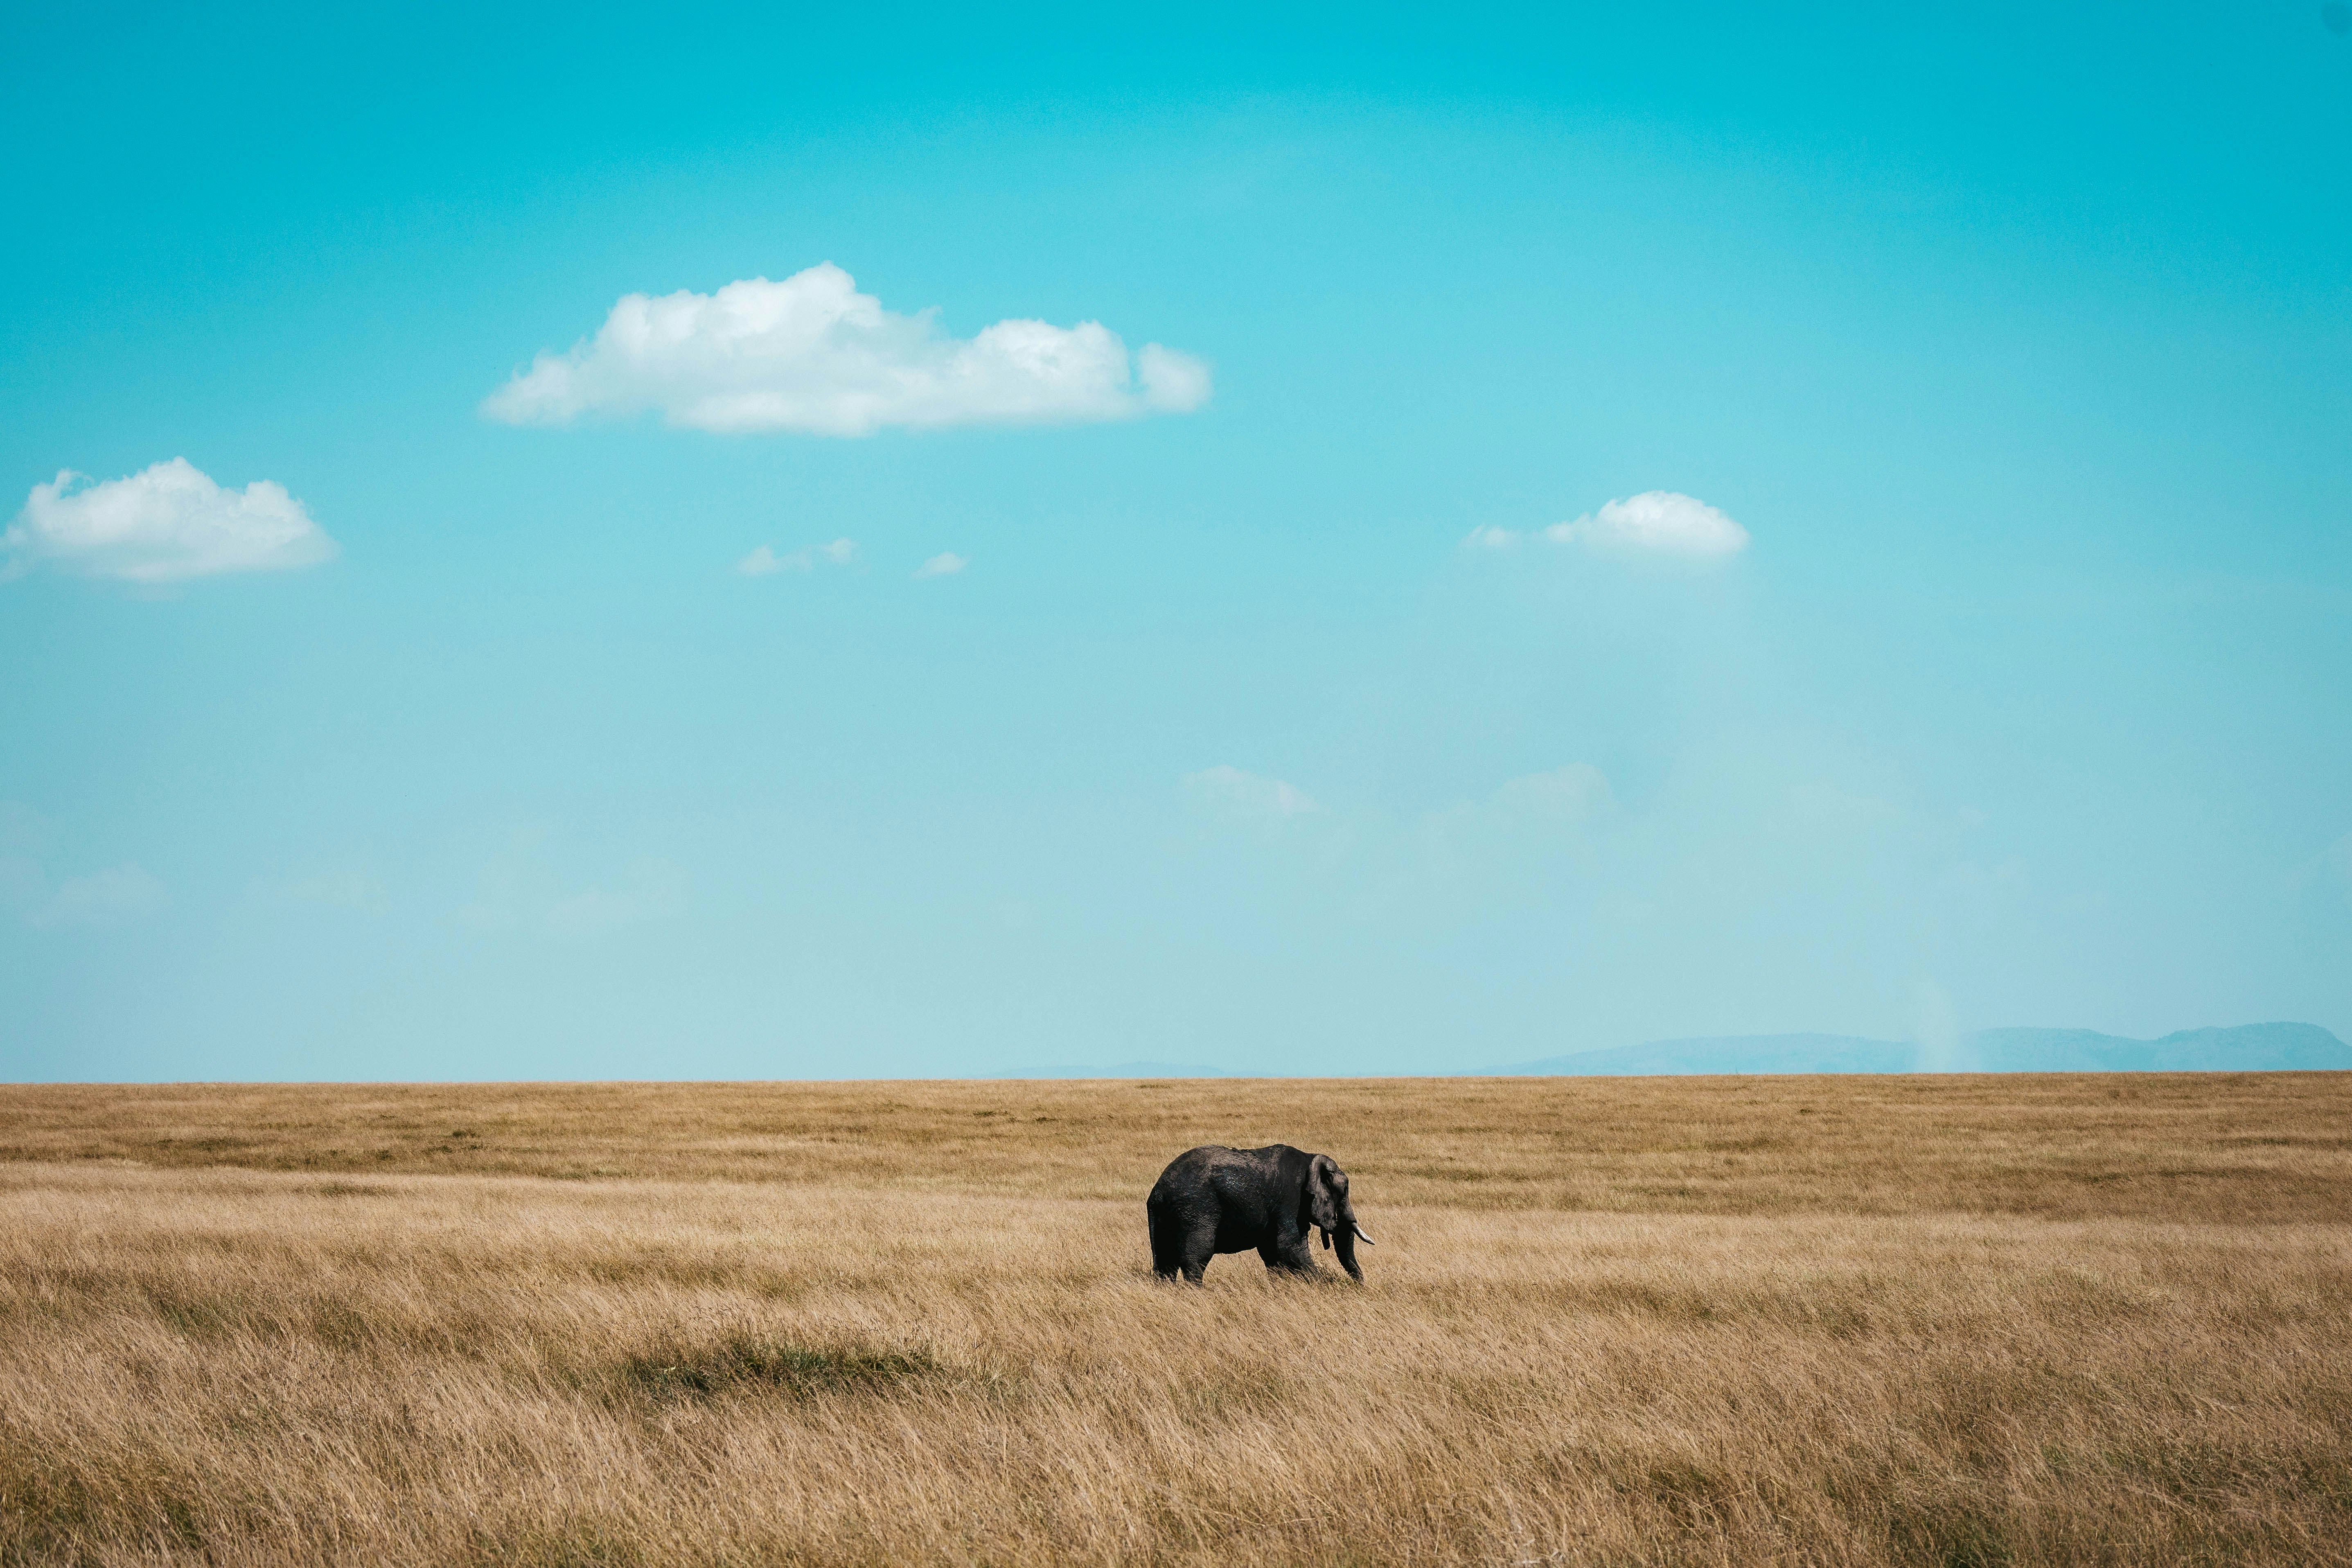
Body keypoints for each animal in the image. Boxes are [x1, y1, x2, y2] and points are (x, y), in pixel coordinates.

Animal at [1146, 1144, 1374, 1284]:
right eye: (1343, 1193)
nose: (1360, 1286)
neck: (1310, 1159)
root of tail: (1158, 1190)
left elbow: (1272, 1253)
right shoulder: (1290, 1199)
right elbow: (1289, 1247)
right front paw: (1321, 1284)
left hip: (1164, 1213)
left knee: (1164, 1259)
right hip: (1197, 1207)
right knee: (1196, 1257)